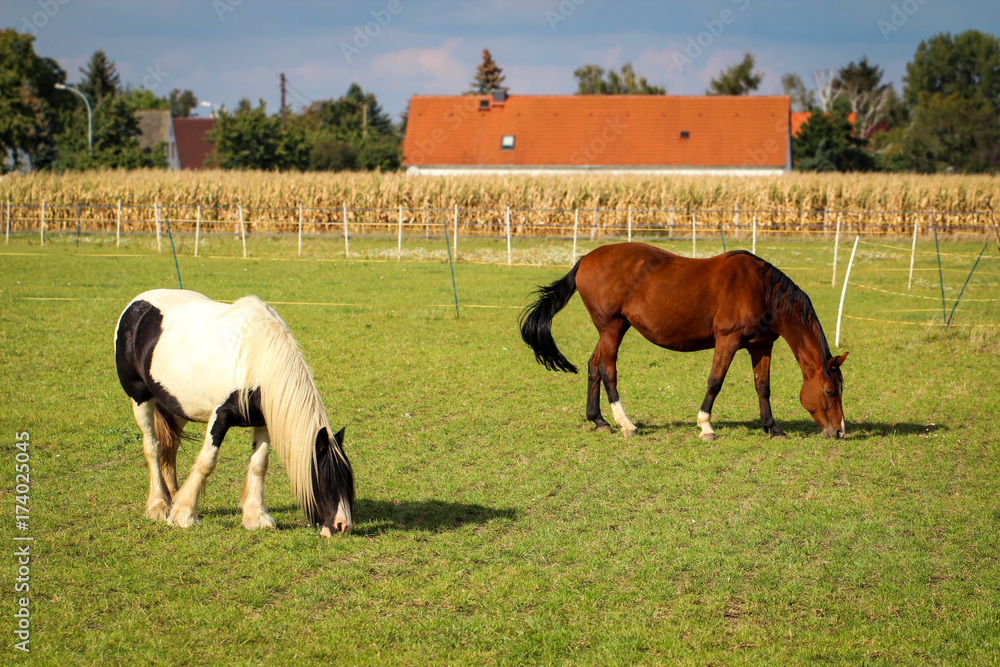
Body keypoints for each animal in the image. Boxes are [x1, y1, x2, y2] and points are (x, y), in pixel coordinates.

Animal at [114, 289, 354, 536]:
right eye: (326, 481)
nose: (343, 525)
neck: (256, 359)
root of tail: (136, 305)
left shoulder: (263, 421)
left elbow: (259, 464)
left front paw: (255, 516)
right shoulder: (220, 417)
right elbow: (207, 462)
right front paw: (184, 514)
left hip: (177, 406)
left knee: (169, 448)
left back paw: (171, 497)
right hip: (140, 398)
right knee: (152, 446)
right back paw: (159, 505)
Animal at [520, 242, 848, 440]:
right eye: (830, 391)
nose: (840, 431)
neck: (761, 289)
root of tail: (586, 259)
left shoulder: (761, 345)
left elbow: (763, 387)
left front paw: (772, 427)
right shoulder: (727, 341)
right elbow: (715, 382)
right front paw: (706, 426)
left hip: (614, 328)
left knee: (592, 366)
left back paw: (598, 419)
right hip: (611, 328)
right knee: (607, 370)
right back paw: (626, 424)